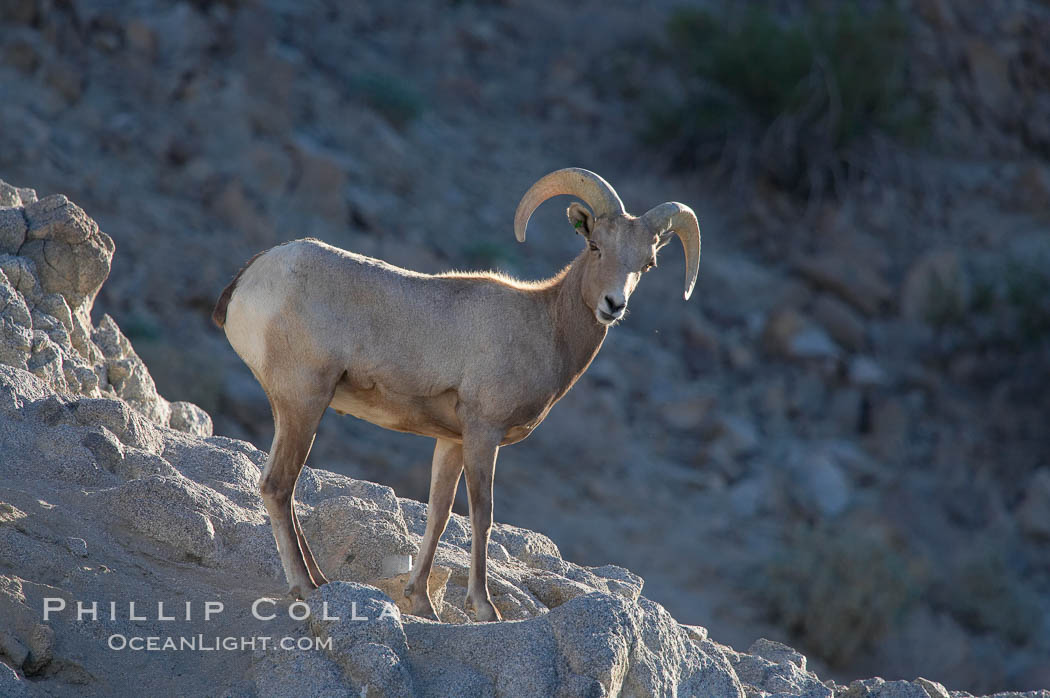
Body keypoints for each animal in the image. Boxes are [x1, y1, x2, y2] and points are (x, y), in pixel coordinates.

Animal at [209, 167, 701, 621]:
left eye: (647, 264)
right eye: (596, 245)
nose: (613, 305)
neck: (543, 326)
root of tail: (250, 277)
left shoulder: (450, 441)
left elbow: (439, 514)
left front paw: (421, 602)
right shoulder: (483, 433)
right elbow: (481, 514)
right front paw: (484, 608)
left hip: (292, 409)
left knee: (285, 488)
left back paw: (322, 579)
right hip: (304, 402)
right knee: (278, 486)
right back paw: (305, 587)